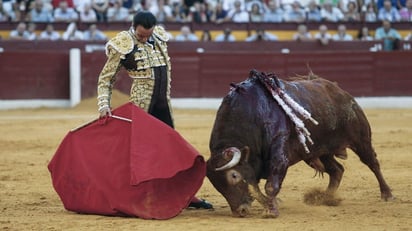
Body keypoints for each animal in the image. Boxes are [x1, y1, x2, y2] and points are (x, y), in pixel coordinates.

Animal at [208, 69, 394, 217]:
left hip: (360, 139)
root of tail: (339, 91)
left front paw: (271, 211)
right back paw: (325, 197)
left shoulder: (279, 151)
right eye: (216, 184)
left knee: (372, 163)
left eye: (234, 175)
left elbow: (270, 185)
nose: (241, 211)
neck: (250, 115)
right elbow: (256, 185)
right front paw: (270, 204)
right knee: (337, 170)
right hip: (320, 151)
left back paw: (387, 194)